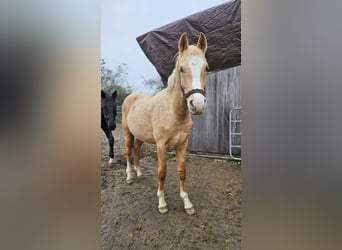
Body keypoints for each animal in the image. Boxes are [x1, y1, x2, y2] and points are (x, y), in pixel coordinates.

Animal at [123, 32, 208, 214]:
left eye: (206, 68)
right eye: (181, 69)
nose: (197, 105)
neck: (174, 113)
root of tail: (130, 97)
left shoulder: (182, 144)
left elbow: (182, 171)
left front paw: (187, 204)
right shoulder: (161, 145)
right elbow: (162, 172)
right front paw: (162, 204)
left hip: (140, 136)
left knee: (136, 150)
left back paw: (139, 173)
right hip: (127, 133)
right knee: (127, 152)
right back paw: (129, 176)